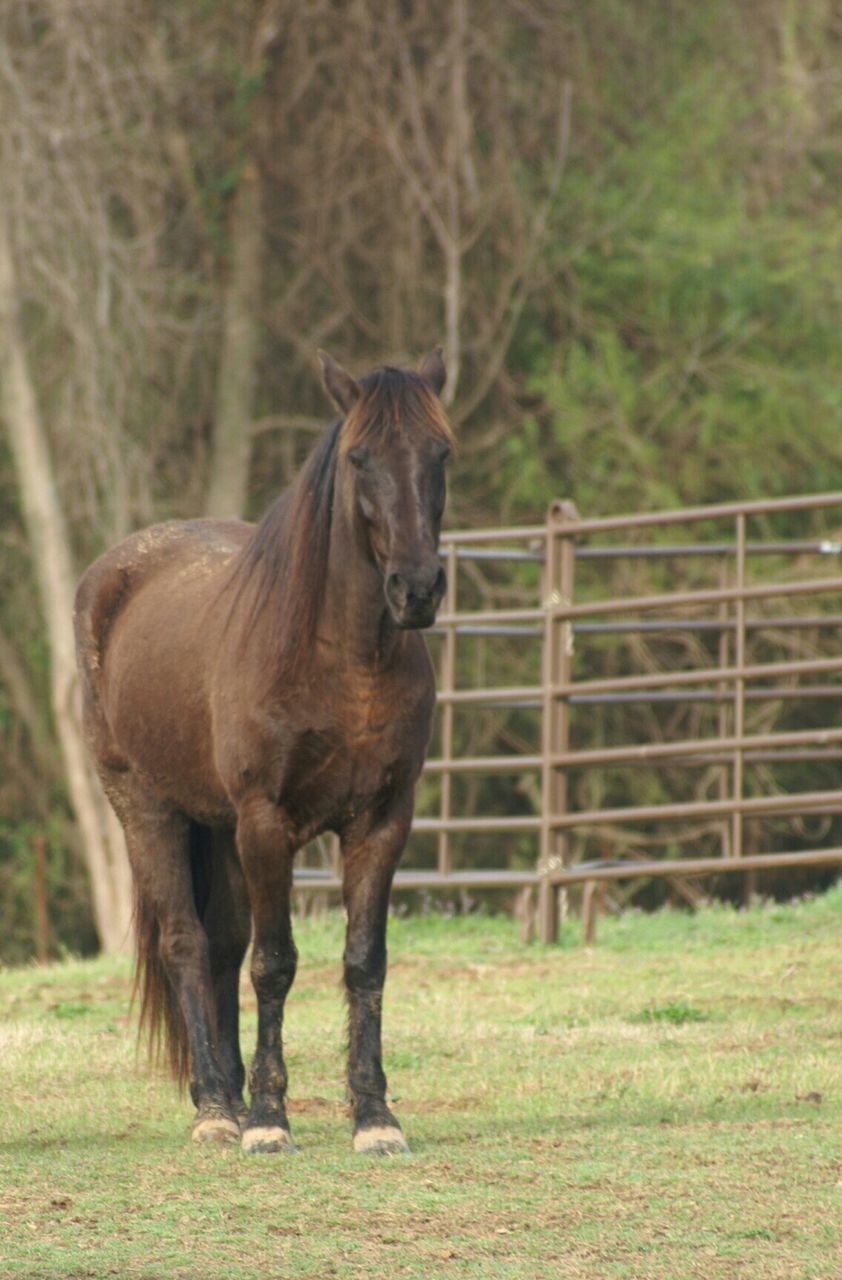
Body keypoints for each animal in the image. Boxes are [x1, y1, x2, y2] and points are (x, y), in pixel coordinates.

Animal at [72, 350, 452, 1162]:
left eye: (441, 453)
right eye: (359, 458)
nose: (416, 588)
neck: (340, 660)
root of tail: (114, 575)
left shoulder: (382, 822)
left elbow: (364, 962)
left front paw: (374, 1116)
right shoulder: (267, 823)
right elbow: (275, 964)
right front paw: (272, 1120)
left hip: (216, 827)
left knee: (220, 948)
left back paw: (230, 1094)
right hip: (148, 811)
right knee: (187, 943)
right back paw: (219, 1108)